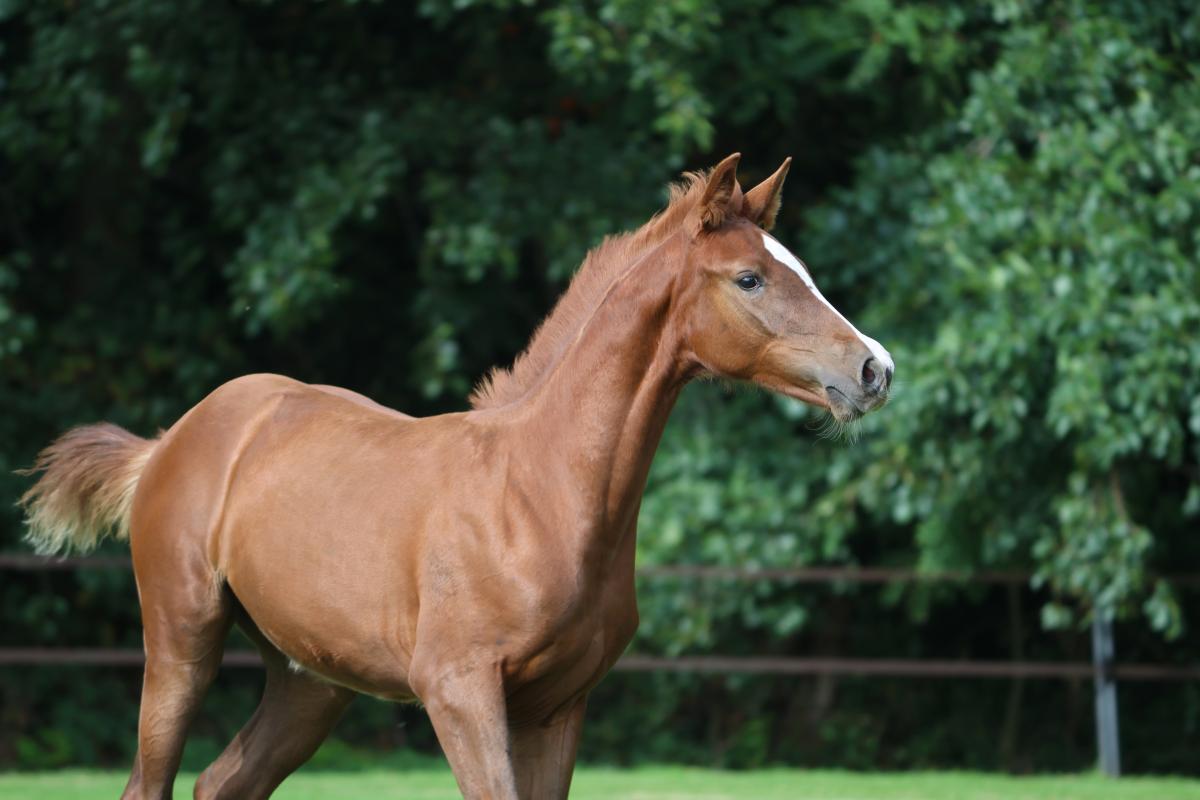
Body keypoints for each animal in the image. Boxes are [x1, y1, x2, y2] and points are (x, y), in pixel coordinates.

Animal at [20, 153, 893, 799]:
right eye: (750, 279)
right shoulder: (459, 690)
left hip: (310, 680)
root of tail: (175, 438)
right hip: (181, 639)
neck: (540, 494)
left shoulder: (559, 706)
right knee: (153, 781)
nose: (874, 368)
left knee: (223, 783)